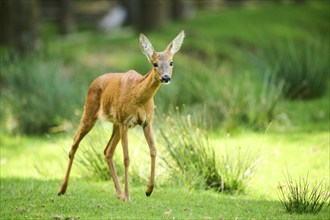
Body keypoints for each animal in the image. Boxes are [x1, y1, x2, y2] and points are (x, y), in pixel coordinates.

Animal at [57, 30, 184, 201]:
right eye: (155, 64)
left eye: (171, 62)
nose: (166, 78)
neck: (139, 97)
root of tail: (93, 81)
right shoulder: (125, 120)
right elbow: (126, 158)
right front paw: (129, 196)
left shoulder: (147, 122)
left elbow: (153, 150)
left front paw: (148, 189)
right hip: (90, 112)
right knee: (74, 145)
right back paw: (62, 189)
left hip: (115, 123)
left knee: (107, 151)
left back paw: (119, 193)